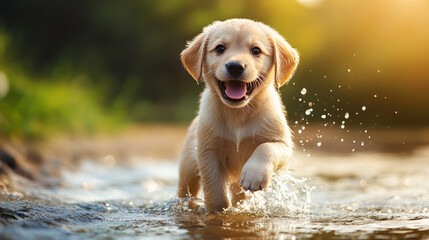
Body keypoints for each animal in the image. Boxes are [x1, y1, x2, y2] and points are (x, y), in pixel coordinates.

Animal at [176, 19, 298, 214]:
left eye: (256, 50)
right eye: (220, 48)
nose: (235, 67)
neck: (238, 113)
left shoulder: (283, 146)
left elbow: (266, 148)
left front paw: (254, 174)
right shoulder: (208, 151)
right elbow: (215, 192)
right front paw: (218, 211)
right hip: (187, 170)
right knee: (185, 191)